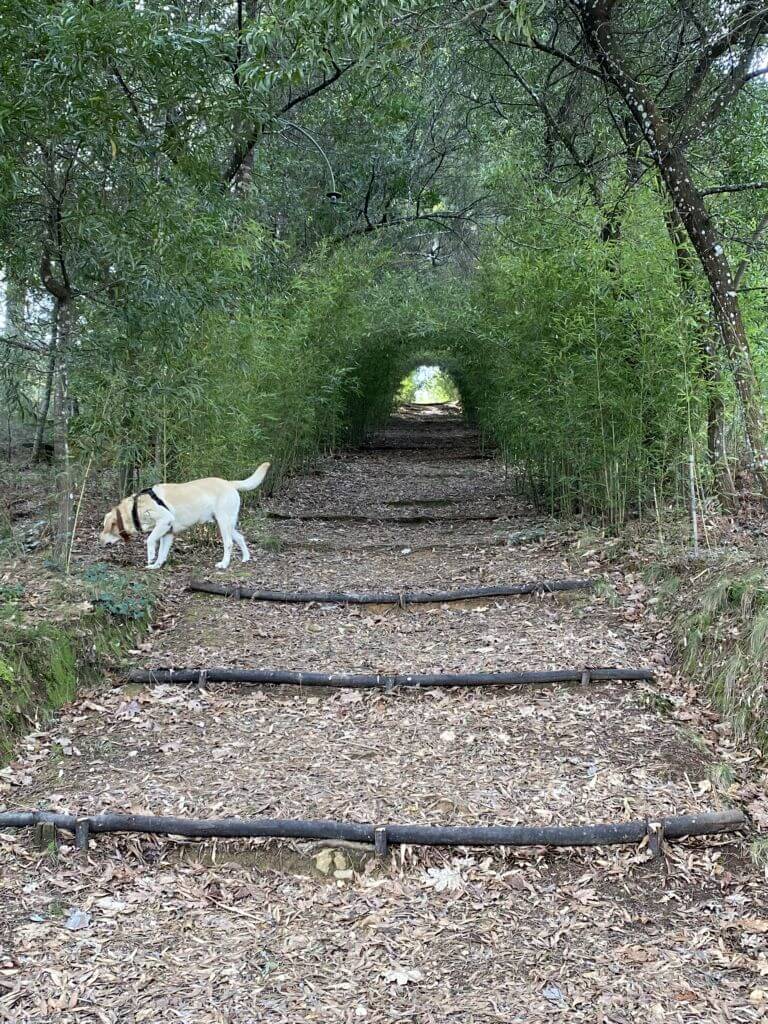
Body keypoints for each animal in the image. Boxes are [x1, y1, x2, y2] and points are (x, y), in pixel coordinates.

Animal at [99, 462, 270, 569]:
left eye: (104, 527)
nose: (100, 541)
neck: (134, 509)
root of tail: (229, 483)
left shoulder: (164, 521)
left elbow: (150, 540)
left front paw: (150, 557)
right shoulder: (167, 533)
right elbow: (162, 552)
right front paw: (156, 565)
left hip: (223, 522)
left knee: (228, 543)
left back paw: (224, 564)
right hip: (226, 524)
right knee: (240, 537)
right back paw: (246, 558)